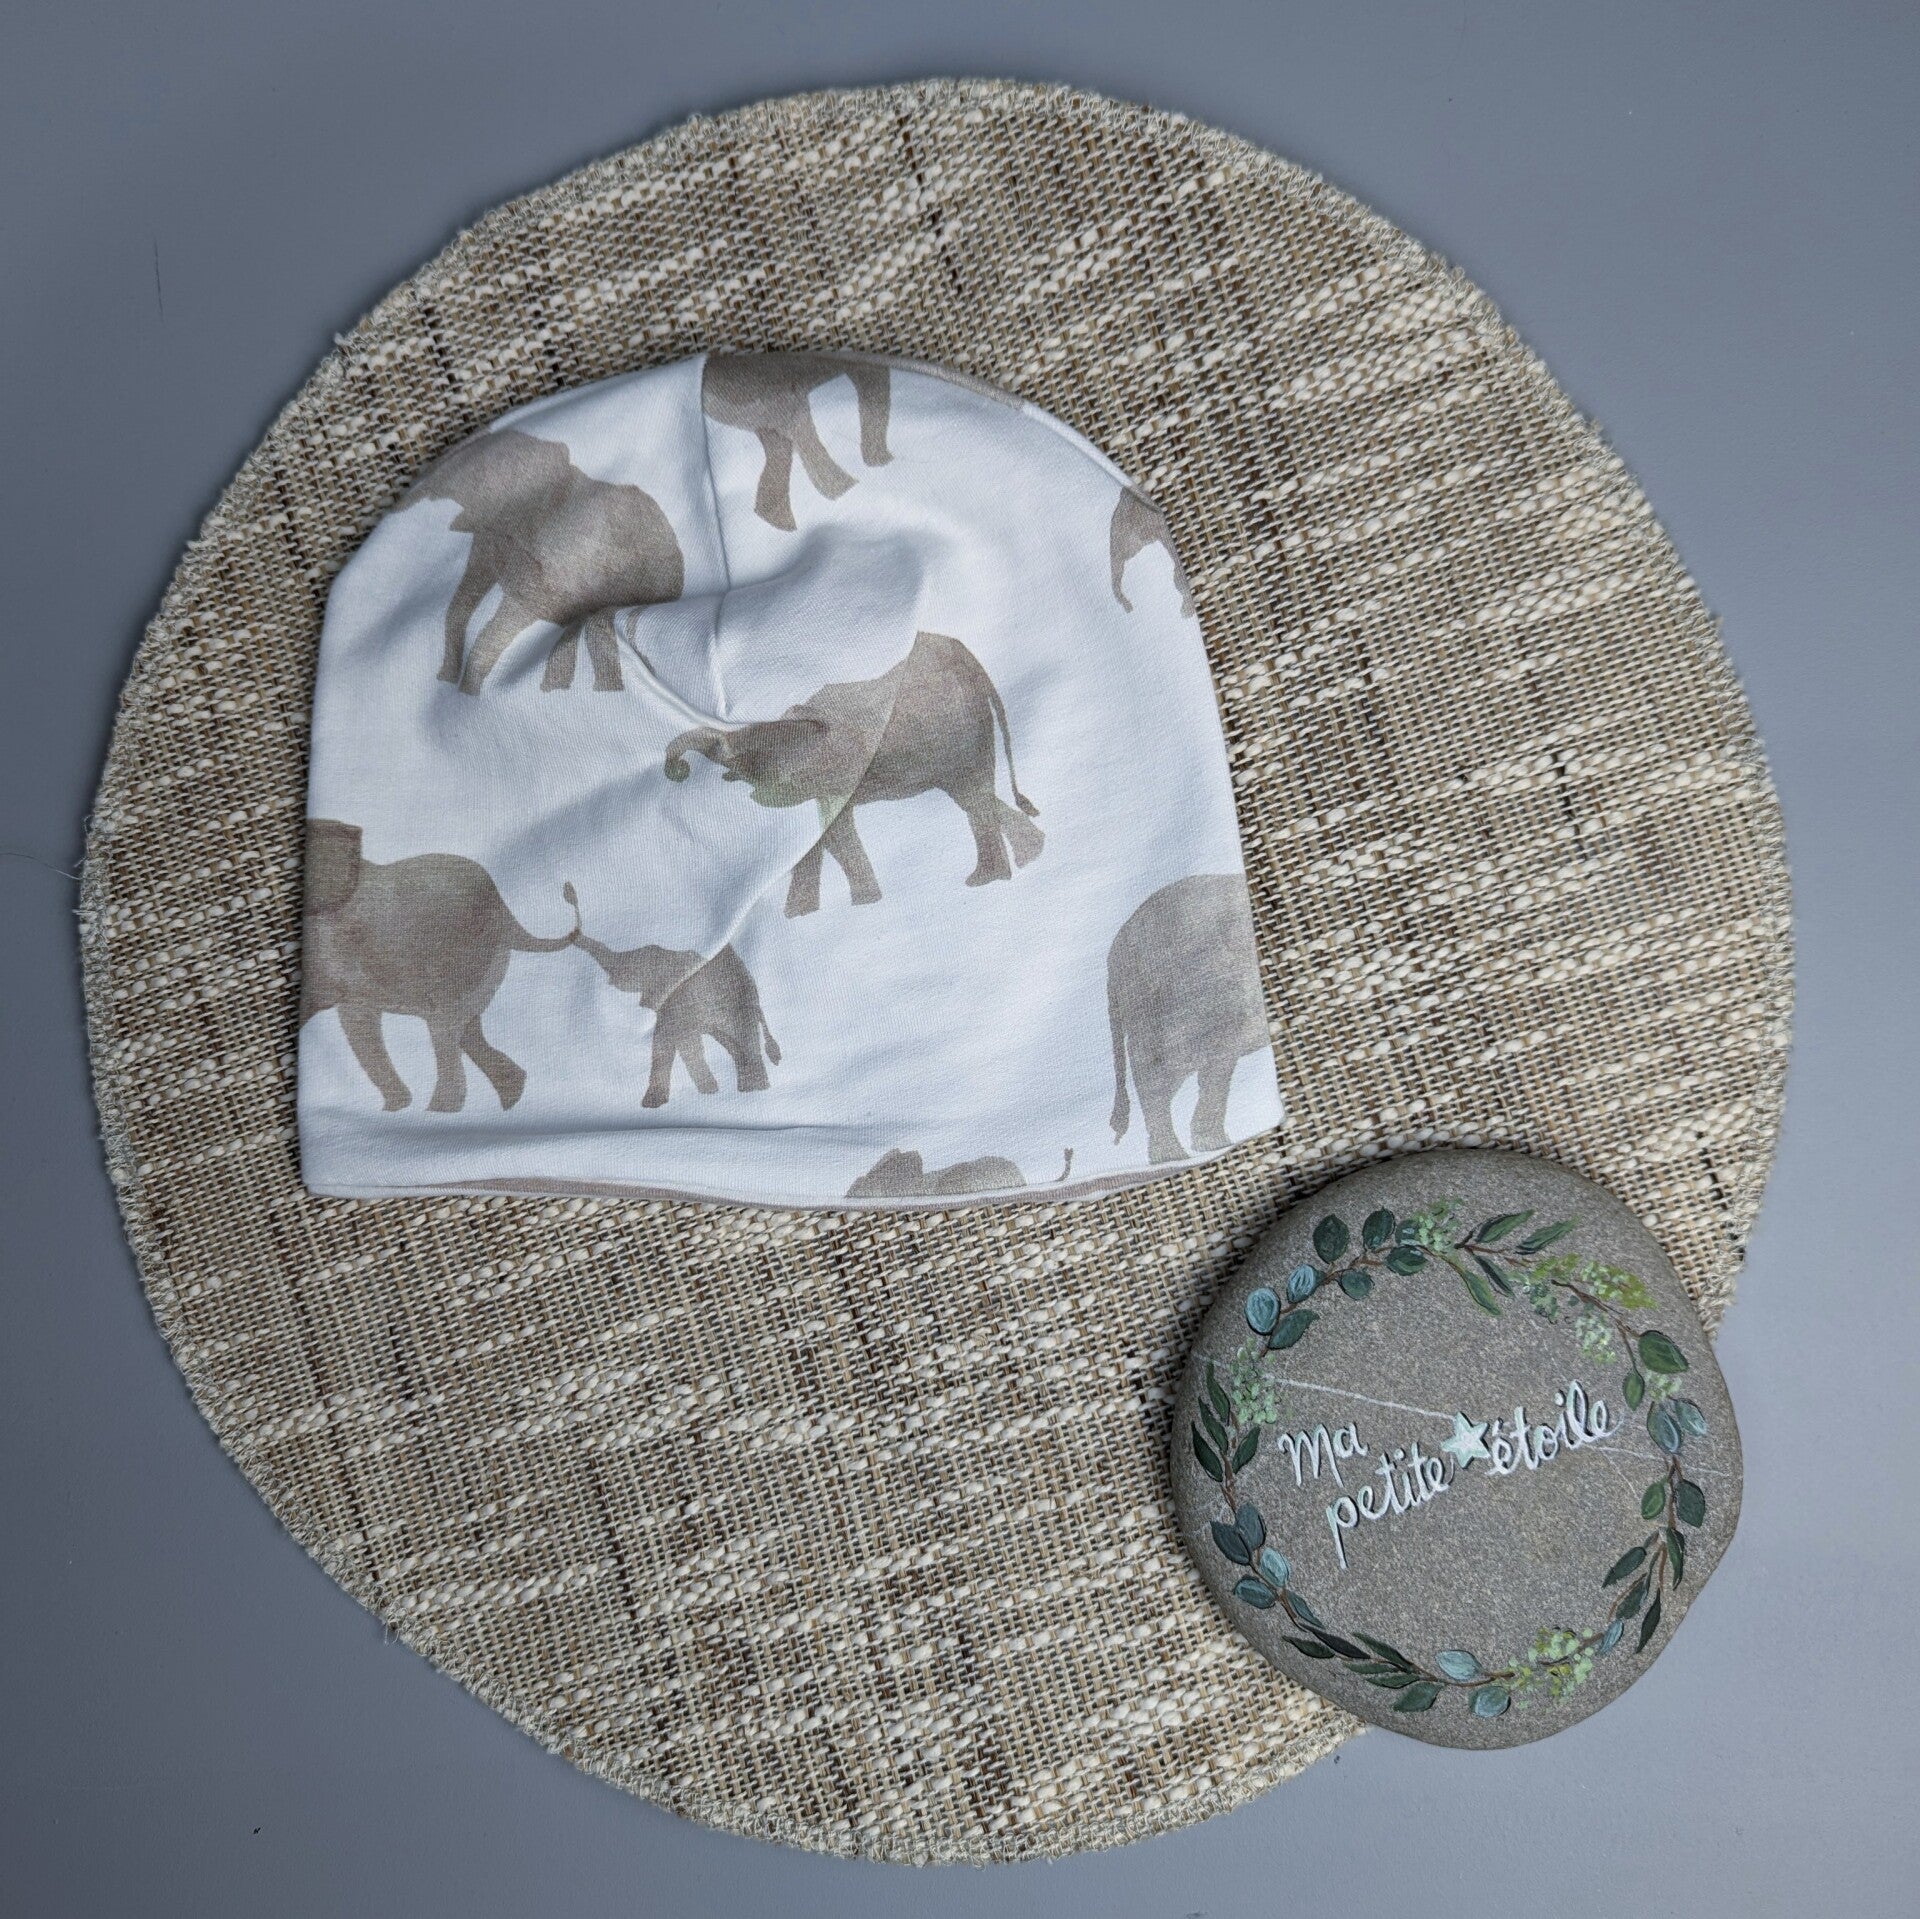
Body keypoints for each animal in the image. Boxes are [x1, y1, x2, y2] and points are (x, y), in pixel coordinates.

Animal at [300, 819, 574, 1113]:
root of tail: (506, 912)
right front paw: (397, 1106)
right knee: (465, 1029)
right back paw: (508, 1096)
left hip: (460, 955)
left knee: (447, 1026)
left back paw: (443, 1108)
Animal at [564, 885, 780, 1109]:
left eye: (633, 968)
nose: (573, 934)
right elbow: (682, 1042)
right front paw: (709, 1091)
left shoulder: (677, 999)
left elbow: (668, 1041)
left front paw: (654, 1103)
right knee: (734, 1045)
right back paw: (748, 1090)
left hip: (739, 1003)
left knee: (743, 1041)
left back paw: (754, 1090)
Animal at [664, 631, 1043, 917]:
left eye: (755, 756)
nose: (679, 772)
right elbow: (824, 833)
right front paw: (810, 913)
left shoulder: (841, 768)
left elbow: (833, 832)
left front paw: (856, 906)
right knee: (973, 798)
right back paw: (1015, 864)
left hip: (961, 730)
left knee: (973, 797)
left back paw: (997, 874)